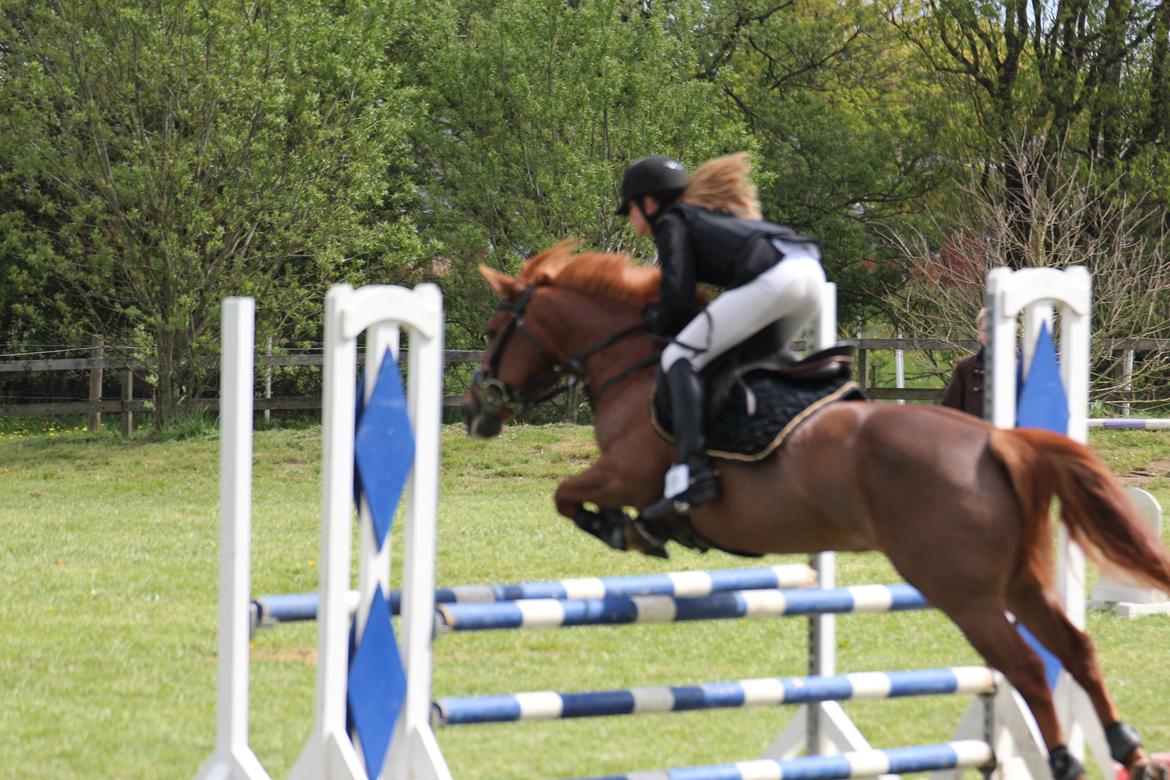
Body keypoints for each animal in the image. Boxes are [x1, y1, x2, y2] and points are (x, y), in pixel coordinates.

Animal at [458, 240, 1170, 776]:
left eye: (494, 331)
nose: (473, 410)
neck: (634, 367)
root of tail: (997, 440)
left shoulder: (626, 473)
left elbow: (566, 495)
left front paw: (631, 531)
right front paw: (640, 532)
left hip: (959, 588)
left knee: (1022, 664)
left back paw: (1065, 760)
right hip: (1018, 577)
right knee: (1074, 646)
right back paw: (1128, 752)